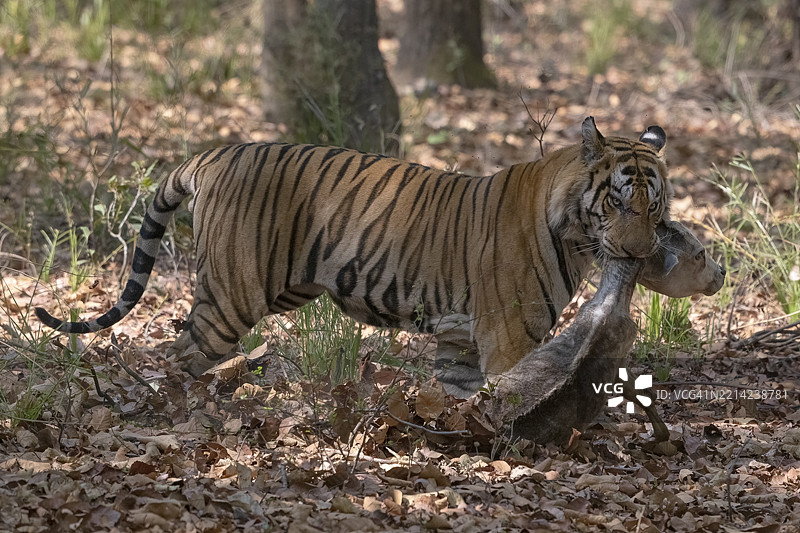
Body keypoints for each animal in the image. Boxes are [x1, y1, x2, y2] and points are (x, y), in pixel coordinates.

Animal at [36, 116, 672, 396]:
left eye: (655, 205)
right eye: (616, 201)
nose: (640, 255)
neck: (575, 236)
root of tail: (217, 153)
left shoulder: (462, 341)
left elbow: (461, 397)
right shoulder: (507, 336)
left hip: (281, 288)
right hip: (233, 294)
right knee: (180, 351)